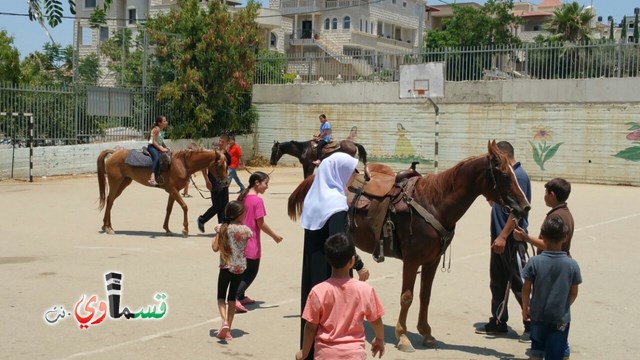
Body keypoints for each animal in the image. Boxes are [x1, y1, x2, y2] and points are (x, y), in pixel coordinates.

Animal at [97, 148, 228, 236]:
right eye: (220, 165)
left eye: (227, 165)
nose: (226, 183)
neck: (182, 163)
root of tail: (114, 152)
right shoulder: (172, 190)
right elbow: (184, 206)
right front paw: (185, 229)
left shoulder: (173, 191)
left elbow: (169, 209)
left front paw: (167, 229)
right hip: (115, 182)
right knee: (110, 201)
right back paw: (108, 228)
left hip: (124, 183)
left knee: (110, 201)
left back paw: (106, 225)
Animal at [288, 141, 528, 352]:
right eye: (504, 174)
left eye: (514, 172)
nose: (525, 207)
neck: (434, 203)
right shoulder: (412, 260)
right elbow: (407, 297)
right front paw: (403, 337)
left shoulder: (431, 261)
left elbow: (425, 296)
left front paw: (426, 333)